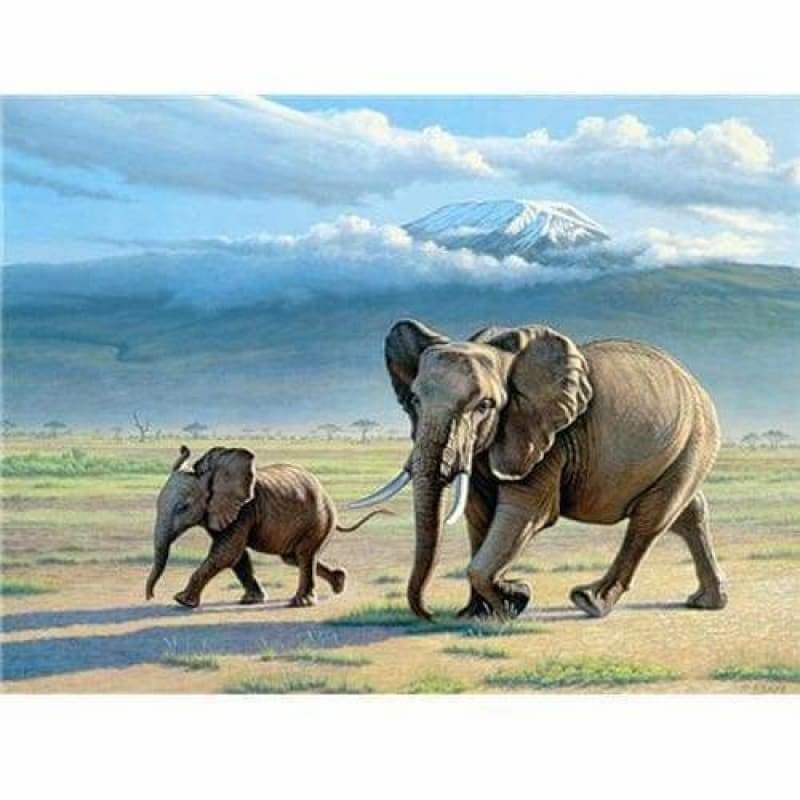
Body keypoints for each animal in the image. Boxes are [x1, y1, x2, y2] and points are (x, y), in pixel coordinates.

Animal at [146, 446, 388, 609]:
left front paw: (181, 601)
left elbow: (226, 553)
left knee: (304, 555)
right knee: (293, 558)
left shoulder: (243, 510)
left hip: (318, 520)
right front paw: (251, 601)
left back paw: (301, 602)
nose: (150, 597)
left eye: (183, 507)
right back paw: (339, 583)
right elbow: (236, 556)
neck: (211, 473)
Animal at [351, 319, 727, 621]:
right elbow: (478, 514)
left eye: (484, 406)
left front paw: (515, 599)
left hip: (694, 440)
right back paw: (706, 602)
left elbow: (525, 512)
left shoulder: (547, 440)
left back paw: (590, 601)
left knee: (651, 519)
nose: (429, 614)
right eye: (414, 401)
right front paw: (478, 612)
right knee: (687, 512)